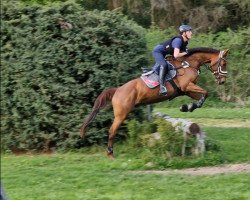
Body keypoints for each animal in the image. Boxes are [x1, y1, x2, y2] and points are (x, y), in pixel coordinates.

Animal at [79, 47, 229, 159]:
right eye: (224, 64)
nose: (222, 81)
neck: (188, 63)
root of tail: (117, 90)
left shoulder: (186, 90)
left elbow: (203, 95)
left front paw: (188, 107)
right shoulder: (187, 86)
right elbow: (205, 93)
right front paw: (188, 106)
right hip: (121, 114)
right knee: (112, 130)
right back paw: (110, 154)